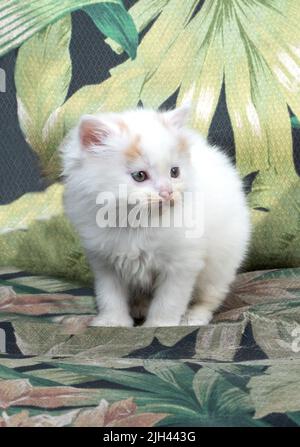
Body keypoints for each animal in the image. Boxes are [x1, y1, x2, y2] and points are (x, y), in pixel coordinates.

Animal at [61, 107, 251, 328]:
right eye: (140, 176)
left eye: (174, 172)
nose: (167, 192)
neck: (136, 222)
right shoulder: (104, 263)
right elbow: (109, 296)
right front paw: (112, 322)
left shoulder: (181, 264)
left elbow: (168, 301)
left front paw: (159, 324)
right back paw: (140, 306)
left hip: (218, 267)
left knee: (209, 298)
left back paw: (194, 317)